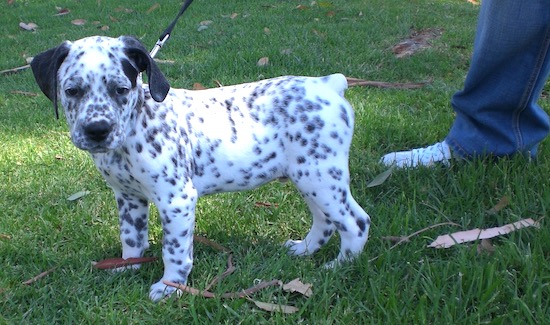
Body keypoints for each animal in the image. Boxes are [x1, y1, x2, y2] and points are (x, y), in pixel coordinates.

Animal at [32, 36, 374, 302]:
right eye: (72, 91)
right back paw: (303, 250)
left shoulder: (176, 200)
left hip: (320, 176)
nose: (97, 130)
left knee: (356, 222)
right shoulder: (128, 198)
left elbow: (174, 251)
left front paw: (170, 288)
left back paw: (339, 266)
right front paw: (128, 266)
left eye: (120, 89)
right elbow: (131, 237)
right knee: (325, 221)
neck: (136, 127)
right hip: (308, 178)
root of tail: (328, 85)